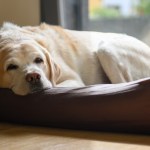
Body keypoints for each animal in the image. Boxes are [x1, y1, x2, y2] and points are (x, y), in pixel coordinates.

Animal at [0, 22, 150, 95]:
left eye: (39, 60)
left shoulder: (73, 80)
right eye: (11, 67)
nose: (33, 77)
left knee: (124, 83)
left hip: (106, 49)